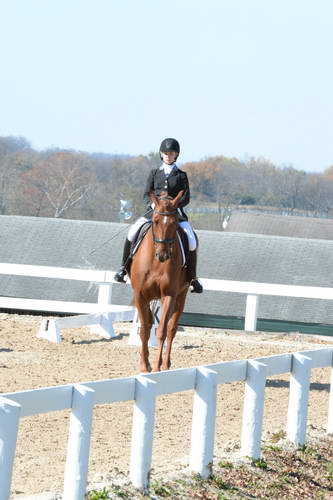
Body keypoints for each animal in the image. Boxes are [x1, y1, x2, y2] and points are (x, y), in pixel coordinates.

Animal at [129, 189, 189, 374]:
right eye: (155, 221)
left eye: (174, 223)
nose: (163, 255)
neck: (156, 263)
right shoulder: (140, 295)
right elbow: (144, 329)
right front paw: (144, 365)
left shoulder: (168, 295)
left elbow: (161, 330)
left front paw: (156, 366)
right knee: (149, 324)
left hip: (181, 295)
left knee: (171, 329)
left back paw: (166, 364)